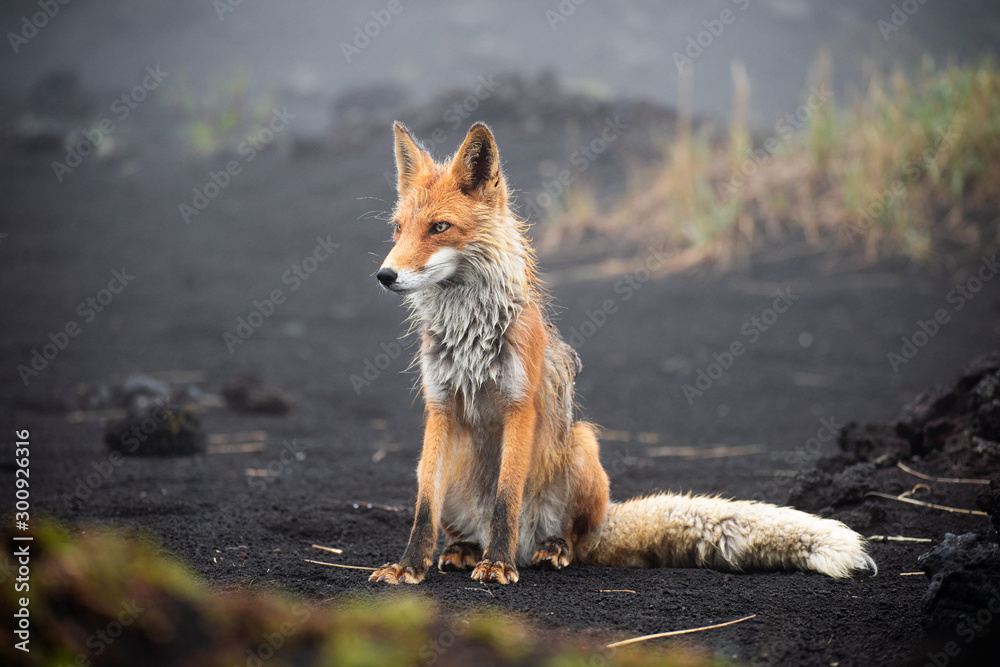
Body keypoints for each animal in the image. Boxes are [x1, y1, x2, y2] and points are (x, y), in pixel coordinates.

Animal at [368, 122, 876, 588]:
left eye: (439, 227)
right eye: (398, 229)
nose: (384, 276)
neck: (469, 332)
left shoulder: (518, 405)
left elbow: (506, 498)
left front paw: (498, 565)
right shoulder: (440, 405)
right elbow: (424, 508)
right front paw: (410, 566)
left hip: (582, 446)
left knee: (573, 537)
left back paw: (546, 549)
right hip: (445, 468)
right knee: (457, 520)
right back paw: (464, 549)